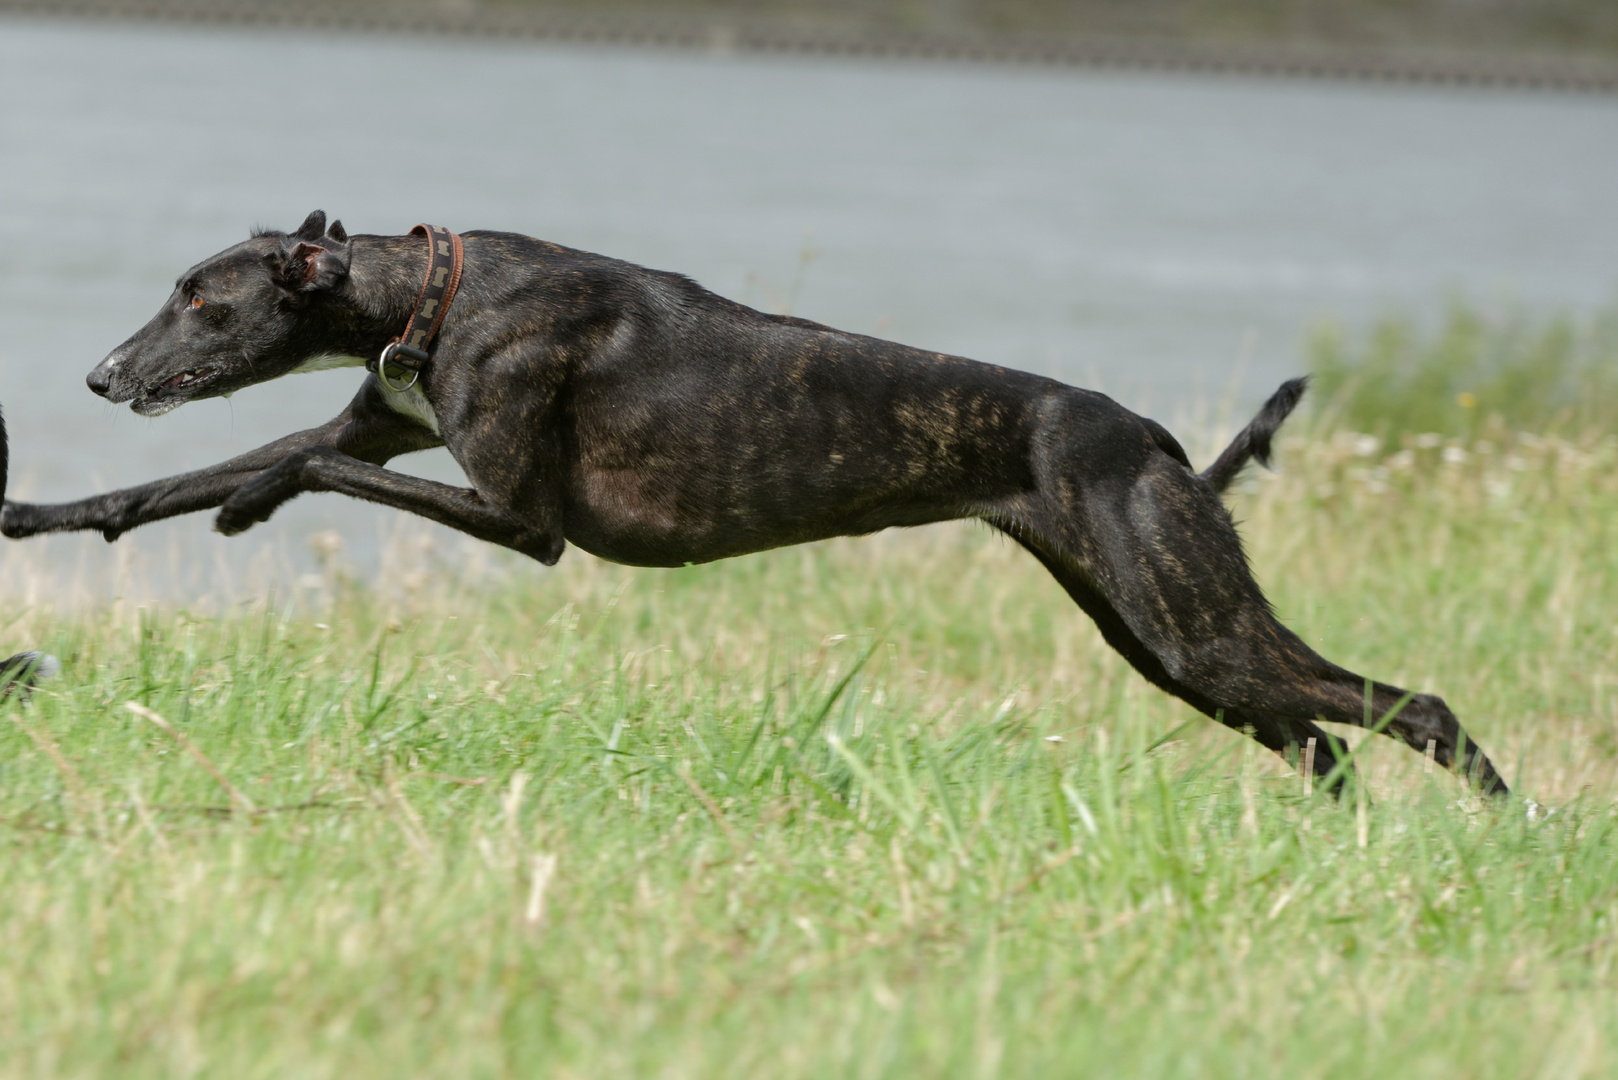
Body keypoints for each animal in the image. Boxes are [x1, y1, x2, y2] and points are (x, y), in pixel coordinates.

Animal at [3, 210, 1514, 793]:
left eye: (203, 301)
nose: (96, 374)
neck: (425, 290)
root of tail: (1151, 442)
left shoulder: (528, 523)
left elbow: (309, 464)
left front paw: (247, 510)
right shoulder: (377, 415)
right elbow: (177, 476)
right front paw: (42, 516)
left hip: (1184, 614)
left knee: (1413, 708)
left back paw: (1507, 831)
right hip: (1159, 634)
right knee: (1319, 741)